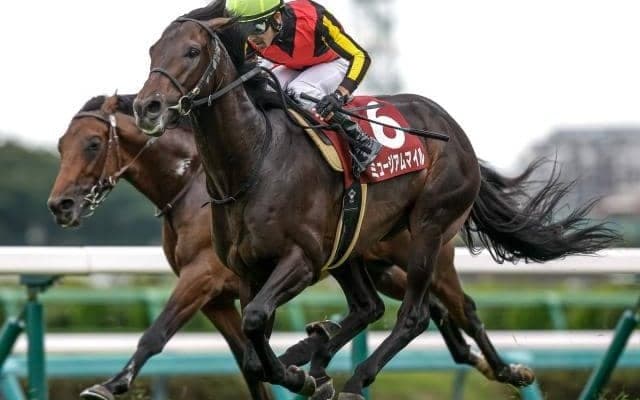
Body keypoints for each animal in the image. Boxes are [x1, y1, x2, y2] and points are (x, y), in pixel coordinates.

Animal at [48, 94, 537, 400]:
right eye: (59, 145)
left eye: (92, 143)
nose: (60, 205)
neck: (195, 184)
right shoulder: (219, 298)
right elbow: (247, 363)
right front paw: (293, 369)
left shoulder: (203, 277)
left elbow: (156, 334)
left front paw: (110, 384)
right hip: (371, 263)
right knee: (409, 308)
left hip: (425, 250)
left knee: (459, 307)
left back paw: (505, 368)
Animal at [132, 2, 618, 398]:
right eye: (153, 51)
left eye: (191, 52)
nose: (147, 107)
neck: (254, 160)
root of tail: (454, 130)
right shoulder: (248, 269)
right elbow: (254, 348)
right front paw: (301, 369)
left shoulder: (303, 258)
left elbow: (254, 323)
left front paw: (300, 375)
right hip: (353, 244)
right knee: (371, 306)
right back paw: (320, 352)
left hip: (429, 230)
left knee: (417, 314)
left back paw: (355, 377)